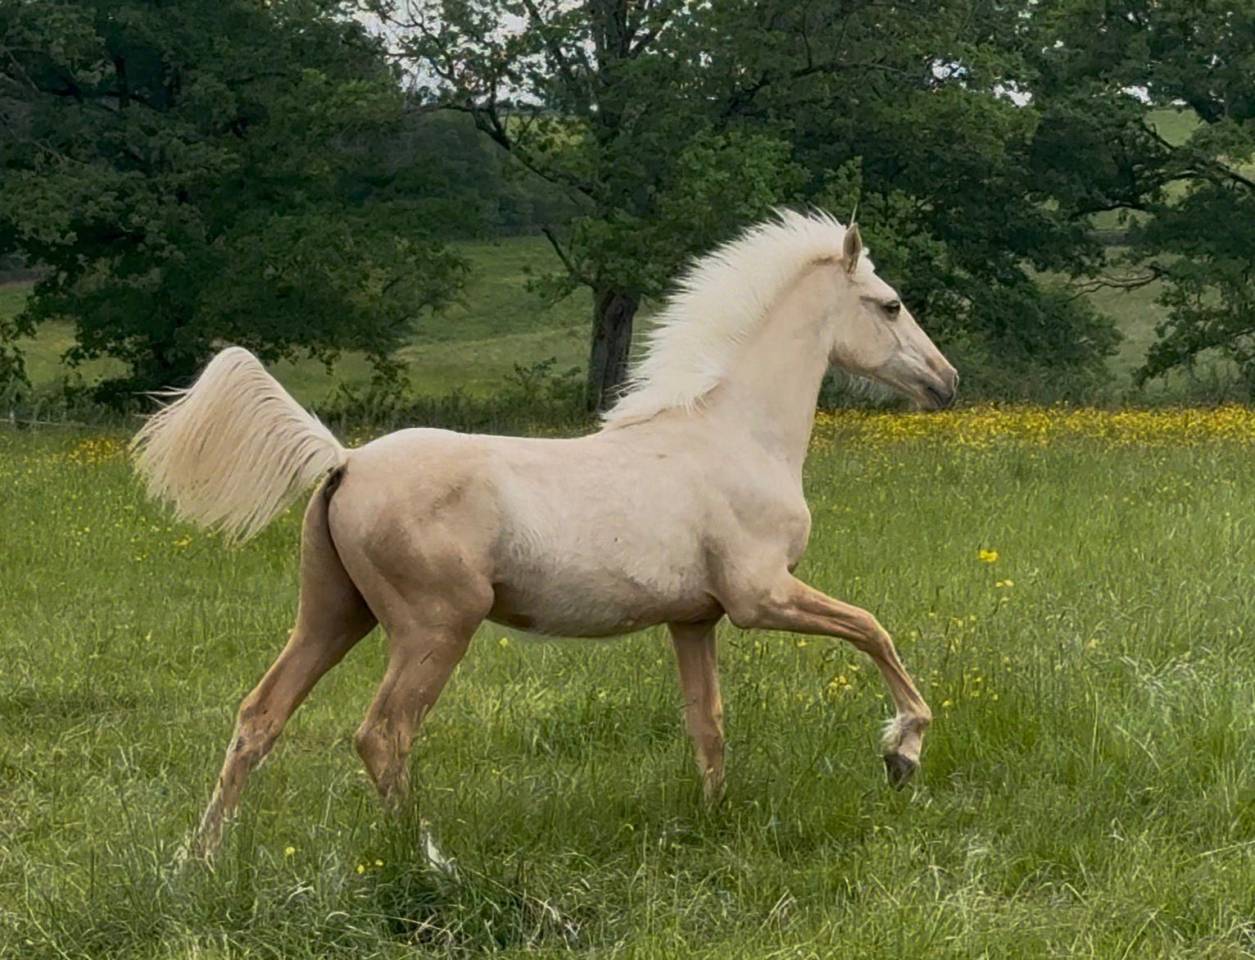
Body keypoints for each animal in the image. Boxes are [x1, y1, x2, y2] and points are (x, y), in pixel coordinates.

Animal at [131, 211, 959, 861]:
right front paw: (902, 752)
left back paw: (199, 860)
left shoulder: (694, 620)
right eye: (889, 305)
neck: (736, 434)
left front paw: (715, 823)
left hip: (333, 617)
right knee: (383, 735)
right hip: (434, 628)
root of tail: (346, 460)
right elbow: (873, 629)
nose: (945, 381)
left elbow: (708, 726)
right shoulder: (763, 598)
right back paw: (428, 861)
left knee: (259, 718)